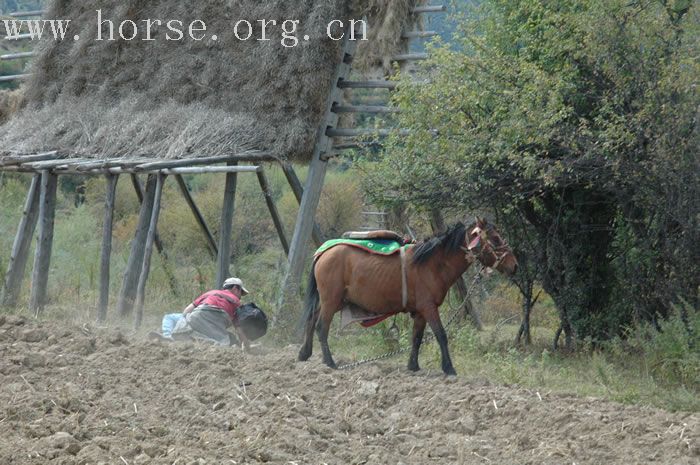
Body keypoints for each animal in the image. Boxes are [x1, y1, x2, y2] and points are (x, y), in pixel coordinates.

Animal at [298, 218, 516, 374]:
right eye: (496, 238)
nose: (514, 265)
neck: (433, 263)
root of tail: (323, 252)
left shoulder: (420, 312)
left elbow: (416, 337)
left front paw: (413, 366)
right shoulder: (429, 307)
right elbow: (441, 335)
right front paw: (449, 368)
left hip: (331, 301)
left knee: (311, 319)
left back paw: (304, 354)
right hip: (331, 300)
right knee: (321, 327)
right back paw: (329, 363)